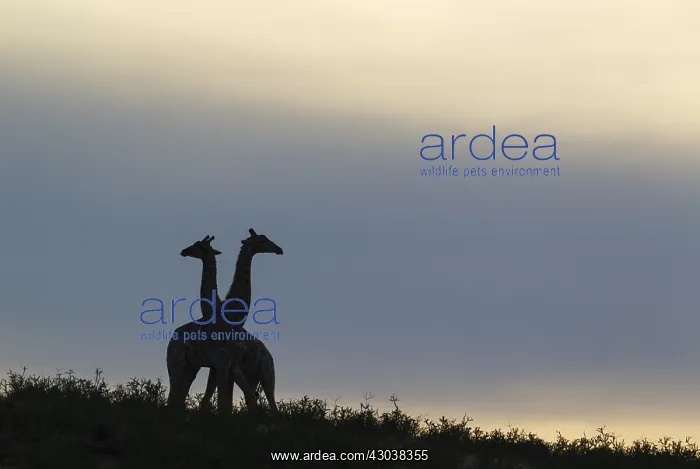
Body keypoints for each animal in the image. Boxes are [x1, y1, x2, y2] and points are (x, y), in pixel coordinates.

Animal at [165, 235, 258, 416]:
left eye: (199, 245)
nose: (184, 251)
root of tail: (171, 339)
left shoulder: (223, 364)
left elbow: (223, 398)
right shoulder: (220, 363)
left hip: (190, 367)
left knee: (179, 395)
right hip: (176, 364)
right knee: (174, 394)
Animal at [199, 229, 283, 415]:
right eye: (262, 240)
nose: (279, 250)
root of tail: (270, 356)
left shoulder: (225, 364)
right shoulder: (221, 365)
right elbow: (220, 400)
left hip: (267, 375)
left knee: (271, 405)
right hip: (254, 377)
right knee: (254, 399)